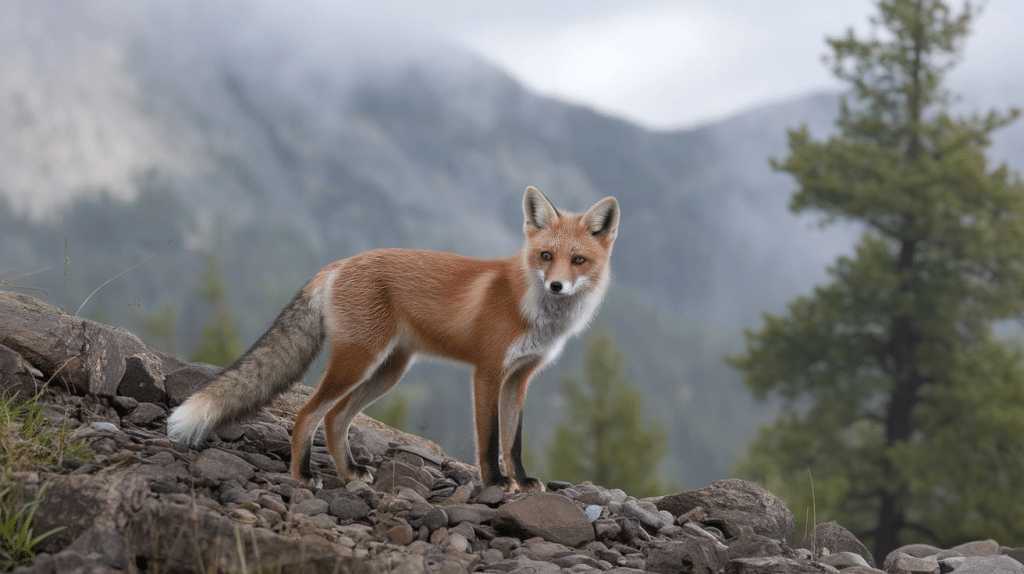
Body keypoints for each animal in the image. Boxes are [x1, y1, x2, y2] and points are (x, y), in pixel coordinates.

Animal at [167, 186, 619, 492]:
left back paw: (349, 473)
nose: (557, 285)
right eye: (546, 256)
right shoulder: (487, 372)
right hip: (358, 362)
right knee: (308, 414)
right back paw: (302, 475)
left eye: (578, 260)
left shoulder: (519, 378)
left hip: (388, 371)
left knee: (335, 418)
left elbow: (514, 441)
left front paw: (522, 482)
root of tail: (338, 263)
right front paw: (494, 484)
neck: (532, 311)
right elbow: (490, 440)